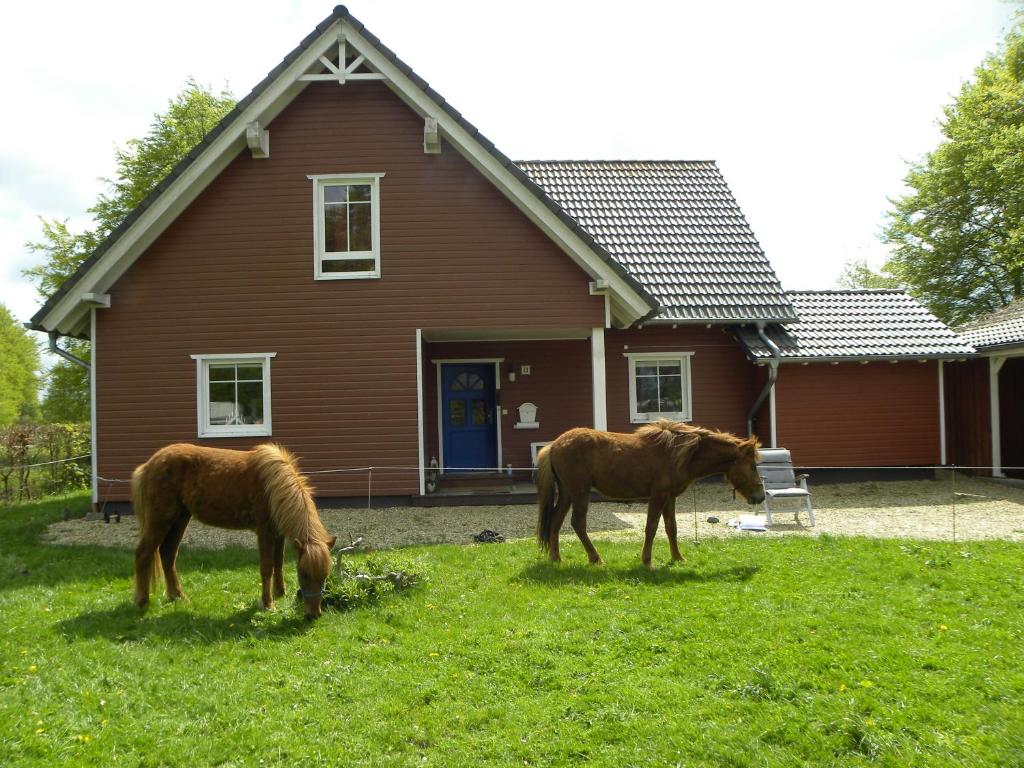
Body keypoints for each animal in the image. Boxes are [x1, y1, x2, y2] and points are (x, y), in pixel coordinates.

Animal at [132, 444, 337, 618]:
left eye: (325, 575)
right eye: (303, 574)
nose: (313, 614)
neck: (273, 487)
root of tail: (151, 463)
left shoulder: (278, 534)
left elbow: (279, 563)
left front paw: (280, 593)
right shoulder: (265, 532)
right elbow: (267, 568)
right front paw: (268, 604)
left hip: (180, 518)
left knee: (167, 554)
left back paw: (177, 596)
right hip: (161, 519)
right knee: (144, 553)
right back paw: (142, 601)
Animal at [540, 421, 765, 565]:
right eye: (753, 466)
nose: (760, 496)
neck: (680, 454)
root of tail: (554, 445)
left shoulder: (670, 498)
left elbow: (671, 528)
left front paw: (678, 558)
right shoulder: (658, 497)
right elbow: (651, 528)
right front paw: (647, 561)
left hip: (567, 493)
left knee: (555, 521)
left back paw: (555, 558)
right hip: (580, 492)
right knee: (578, 523)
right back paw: (595, 558)